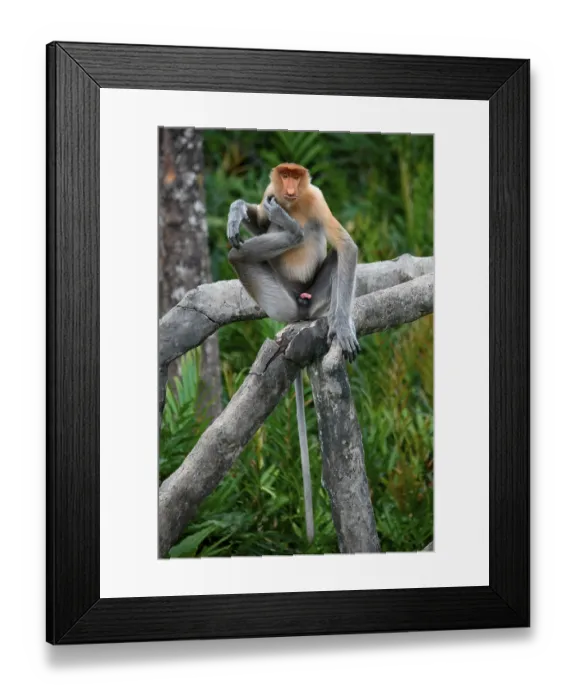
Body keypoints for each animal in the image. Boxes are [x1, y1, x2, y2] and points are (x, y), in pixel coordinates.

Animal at [226, 163, 360, 544]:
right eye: (283, 174)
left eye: (296, 176)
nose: (287, 188)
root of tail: (297, 312)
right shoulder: (269, 193)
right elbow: (257, 222)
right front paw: (238, 211)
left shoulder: (316, 198)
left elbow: (346, 246)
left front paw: (343, 327)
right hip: (278, 298)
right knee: (238, 254)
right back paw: (287, 230)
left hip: (311, 297)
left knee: (332, 254)